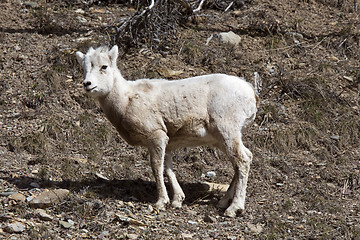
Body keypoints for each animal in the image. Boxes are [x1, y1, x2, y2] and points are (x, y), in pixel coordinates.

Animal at [75, 45, 258, 218]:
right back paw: (223, 202)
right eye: (83, 68)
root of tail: (251, 93)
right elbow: (167, 167)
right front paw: (177, 200)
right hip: (221, 139)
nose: (87, 84)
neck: (126, 100)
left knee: (242, 161)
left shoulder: (156, 136)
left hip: (227, 132)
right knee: (244, 159)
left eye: (104, 66)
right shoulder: (167, 143)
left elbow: (156, 166)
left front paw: (161, 202)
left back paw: (234, 208)